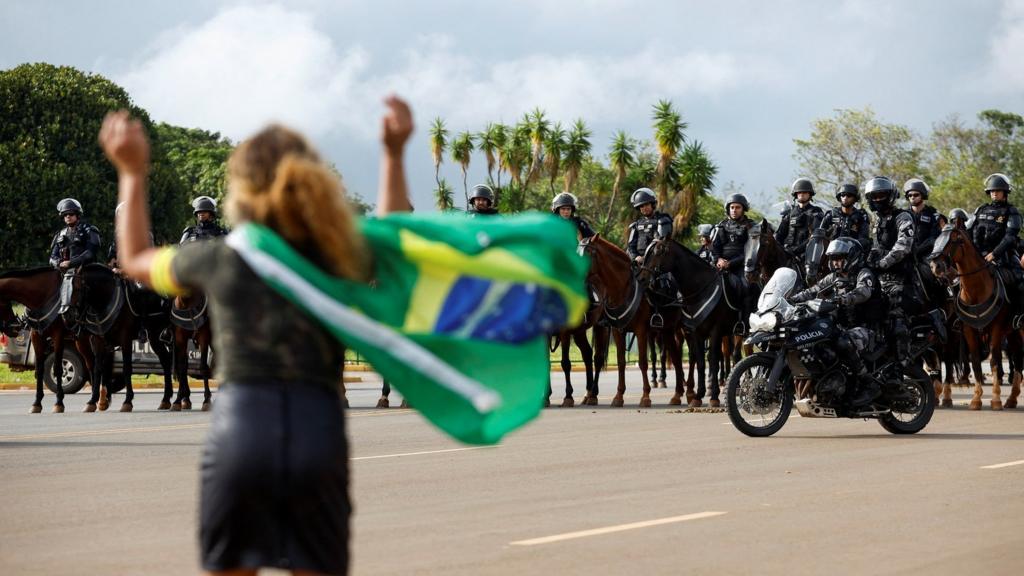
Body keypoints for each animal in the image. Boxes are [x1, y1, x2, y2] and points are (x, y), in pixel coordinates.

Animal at [933, 223, 1019, 407]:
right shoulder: (968, 330)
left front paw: (995, 398)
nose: (935, 266)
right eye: (937, 238)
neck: (976, 290)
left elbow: (994, 360)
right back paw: (1012, 398)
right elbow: (976, 361)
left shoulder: (996, 329)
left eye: (953, 240)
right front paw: (976, 398)